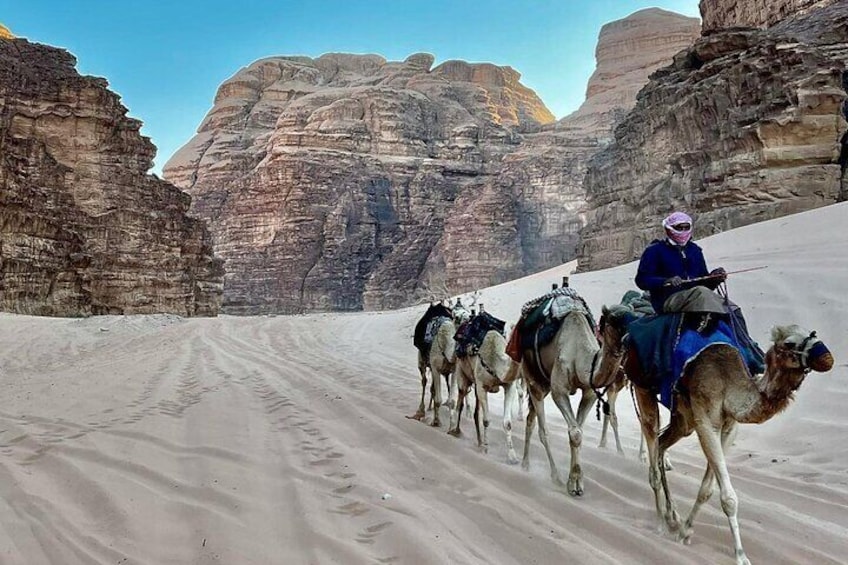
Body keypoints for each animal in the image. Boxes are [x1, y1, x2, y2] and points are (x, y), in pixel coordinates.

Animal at [448, 330, 520, 462]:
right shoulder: (481, 386)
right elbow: (486, 420)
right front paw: (486, 449)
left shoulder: (509, 385)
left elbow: (507, 423)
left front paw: (512, 456)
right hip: (461, 372)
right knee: (460, 400)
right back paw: (454, 430)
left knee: (475, 411)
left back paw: (479, 441)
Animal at [512, 304, 620, 494]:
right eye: (613, 322)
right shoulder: (559, 389)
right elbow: (575, 433)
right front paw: (573, 483)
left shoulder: (589, 392)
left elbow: (579, 432)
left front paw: (578, 480)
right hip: (532, 376)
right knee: (542, 430)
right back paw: (553, 476)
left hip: (544, 383)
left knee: (530, 419)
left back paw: (526, 463)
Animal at [596, 306, 836, 560]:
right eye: (790, 343)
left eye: (812, 333)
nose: (827, 358)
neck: (729, 382)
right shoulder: (706, 422)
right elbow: (728, 497)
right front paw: (740, 555)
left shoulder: (729, 427)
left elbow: (707, 490)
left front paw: (685, 531)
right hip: (644, 387)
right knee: (652, 449)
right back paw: (661, 522)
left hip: (683, 420)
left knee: (661, 444)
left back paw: (673, 517)